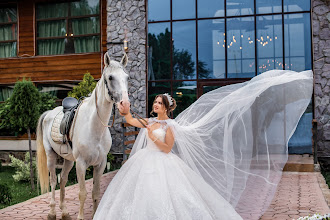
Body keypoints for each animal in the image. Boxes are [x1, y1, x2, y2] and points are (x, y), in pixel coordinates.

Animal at [36, 52, 129, 220]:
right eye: (110, 77)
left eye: (127, 77)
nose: (125, 104)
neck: (94, 127)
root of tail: (49, 113)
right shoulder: (81, 164)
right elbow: (82, 193)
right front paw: (80, 216)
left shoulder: (100, 164)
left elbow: (95, 193)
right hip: (51, 156)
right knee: (53, 181)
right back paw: (52, 212)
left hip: (68, 160)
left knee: (62, 179)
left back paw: (65, 212)